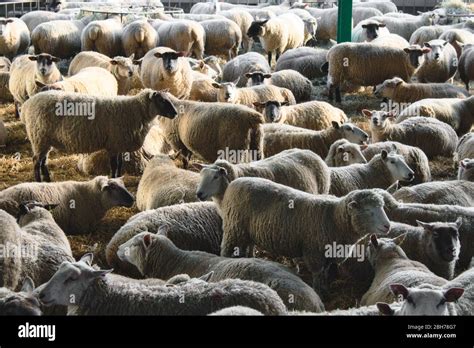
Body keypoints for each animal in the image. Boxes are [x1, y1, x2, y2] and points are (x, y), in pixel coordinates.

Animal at [217, 178, 390, 292]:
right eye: (368, 210)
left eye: (382, 207)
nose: (387, 225)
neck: (334, 217)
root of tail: (235, 182)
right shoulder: (314, 253)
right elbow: (318, 274)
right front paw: (320, 292)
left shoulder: (327, 254)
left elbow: (326, 271)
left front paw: (326, 288)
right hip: (233, 228)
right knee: (226, 250)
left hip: (247, 232)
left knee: (248, 245)